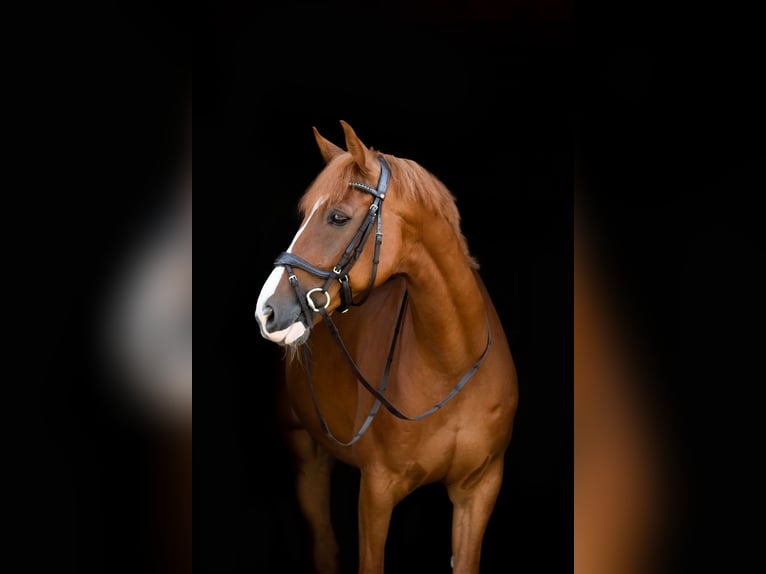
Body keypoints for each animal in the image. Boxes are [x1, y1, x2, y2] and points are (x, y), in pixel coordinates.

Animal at [254, 120, 518, 574]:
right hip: (307, 456)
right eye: (305, 216)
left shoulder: (480, 489)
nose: (266, 312)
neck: (451, 362)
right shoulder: (377, 492)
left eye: (337, 217)